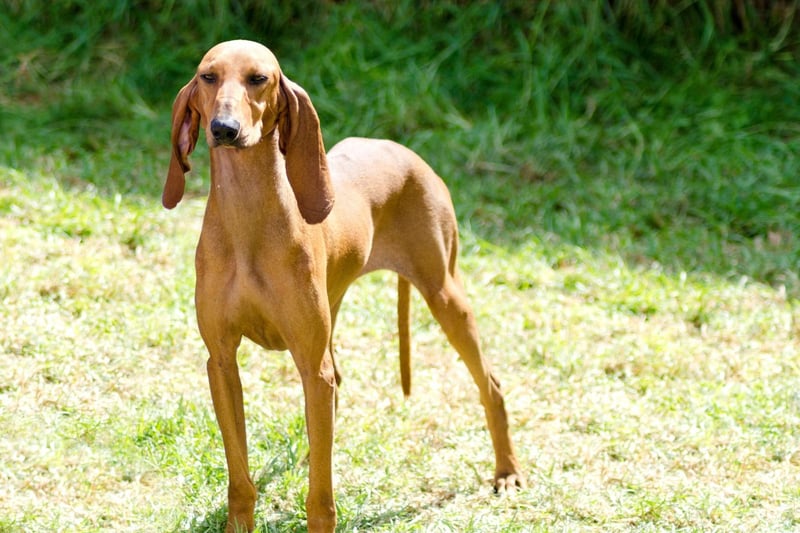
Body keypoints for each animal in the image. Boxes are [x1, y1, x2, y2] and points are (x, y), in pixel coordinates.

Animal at [164, 39, 524, 528]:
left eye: (259, 78)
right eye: (208, 77)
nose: (224, 128)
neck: (248, 223)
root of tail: (404, 151)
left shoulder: (310, 366)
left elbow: (321, 495)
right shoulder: (221, 363)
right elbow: (240, 475)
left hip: (446, 297)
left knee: (492, 386)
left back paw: (507, 471)